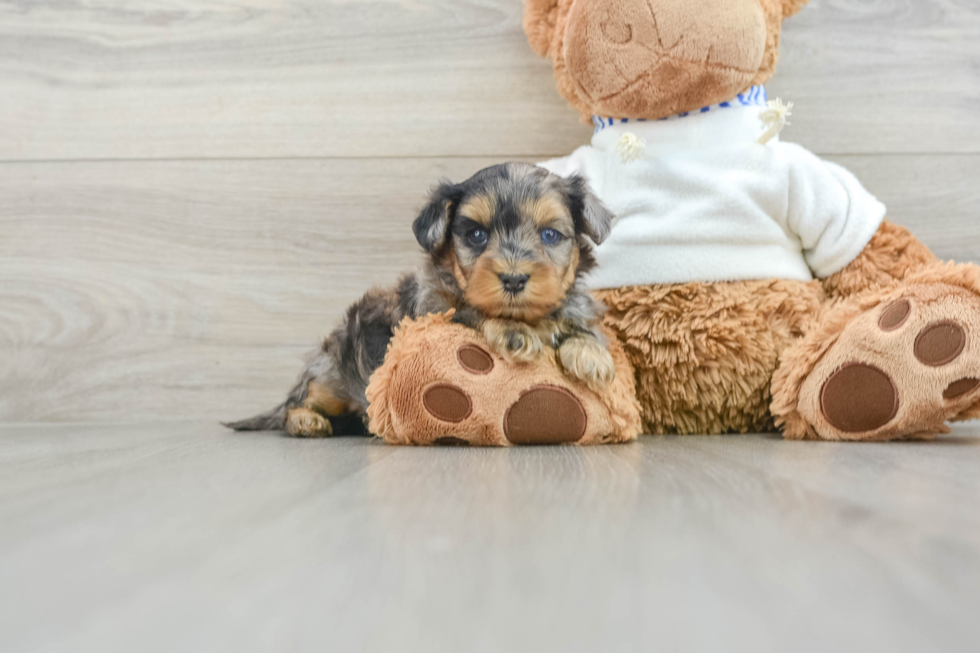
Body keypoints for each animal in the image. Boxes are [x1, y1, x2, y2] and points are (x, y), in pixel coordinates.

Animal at [226, 163, 616, 438]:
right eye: (477, 235)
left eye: (550, 235)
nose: (514, 278)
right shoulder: (433, 309)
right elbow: (471, 311)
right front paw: (512, 330)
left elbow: (580, 324)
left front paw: (591, 353)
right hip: (331, 375)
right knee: (296, 404)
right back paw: (306, 421)